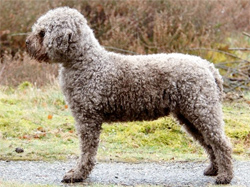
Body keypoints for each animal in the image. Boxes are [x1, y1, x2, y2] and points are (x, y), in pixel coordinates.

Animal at [26, 6, 233, 184]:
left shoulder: (87, 119)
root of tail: (208, 66)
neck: (86, 62)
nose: (27, 42)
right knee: (209, 143)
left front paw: (77, 174)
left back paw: (225, 176)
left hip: (201, 110)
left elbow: (87, 152)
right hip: (189, 115)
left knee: (221, 142)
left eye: (42, 32)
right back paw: (214, 169)